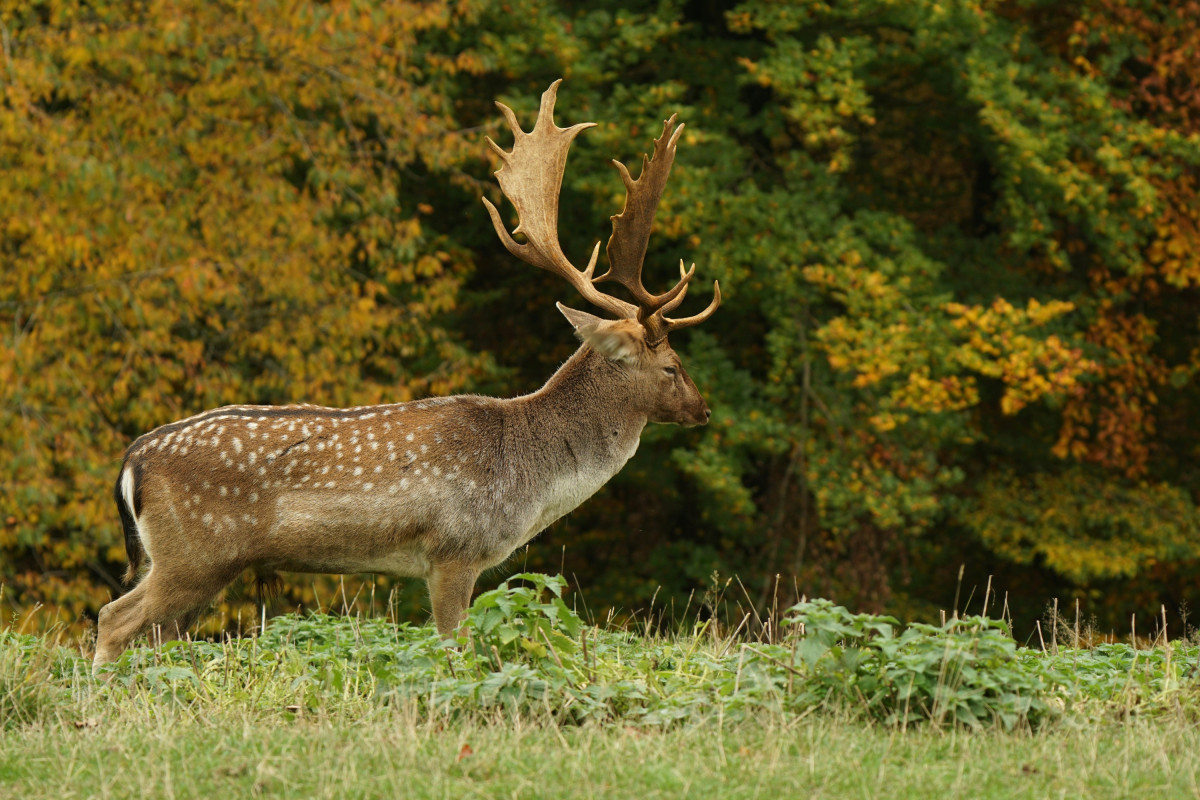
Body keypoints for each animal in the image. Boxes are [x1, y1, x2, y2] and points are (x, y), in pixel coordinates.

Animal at [93, 79, 715, 671]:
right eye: (671, 365)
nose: (703, 409)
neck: (529, 482)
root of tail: (133, 461)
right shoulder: (454, 549)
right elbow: (454, 645)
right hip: (195, 552)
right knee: (113, 617)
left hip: (194, 565)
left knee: (153, 631)